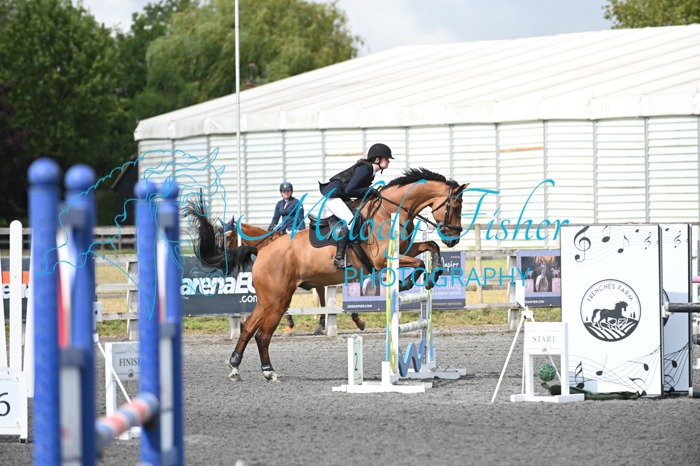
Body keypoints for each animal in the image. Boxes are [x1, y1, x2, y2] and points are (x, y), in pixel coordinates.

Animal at [188, 167, 468, 381]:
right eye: (455, 205)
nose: (453, 238)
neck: (390, 212)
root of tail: (263, 249)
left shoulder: (404, 249)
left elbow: (430, 248)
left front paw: (433, 273)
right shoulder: (383, 259)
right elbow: (419, 262)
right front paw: (411, 281)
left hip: (268, 299)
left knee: (247, 328)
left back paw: (235, 367)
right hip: (278, 300)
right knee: (262, 334)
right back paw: (269, 372)